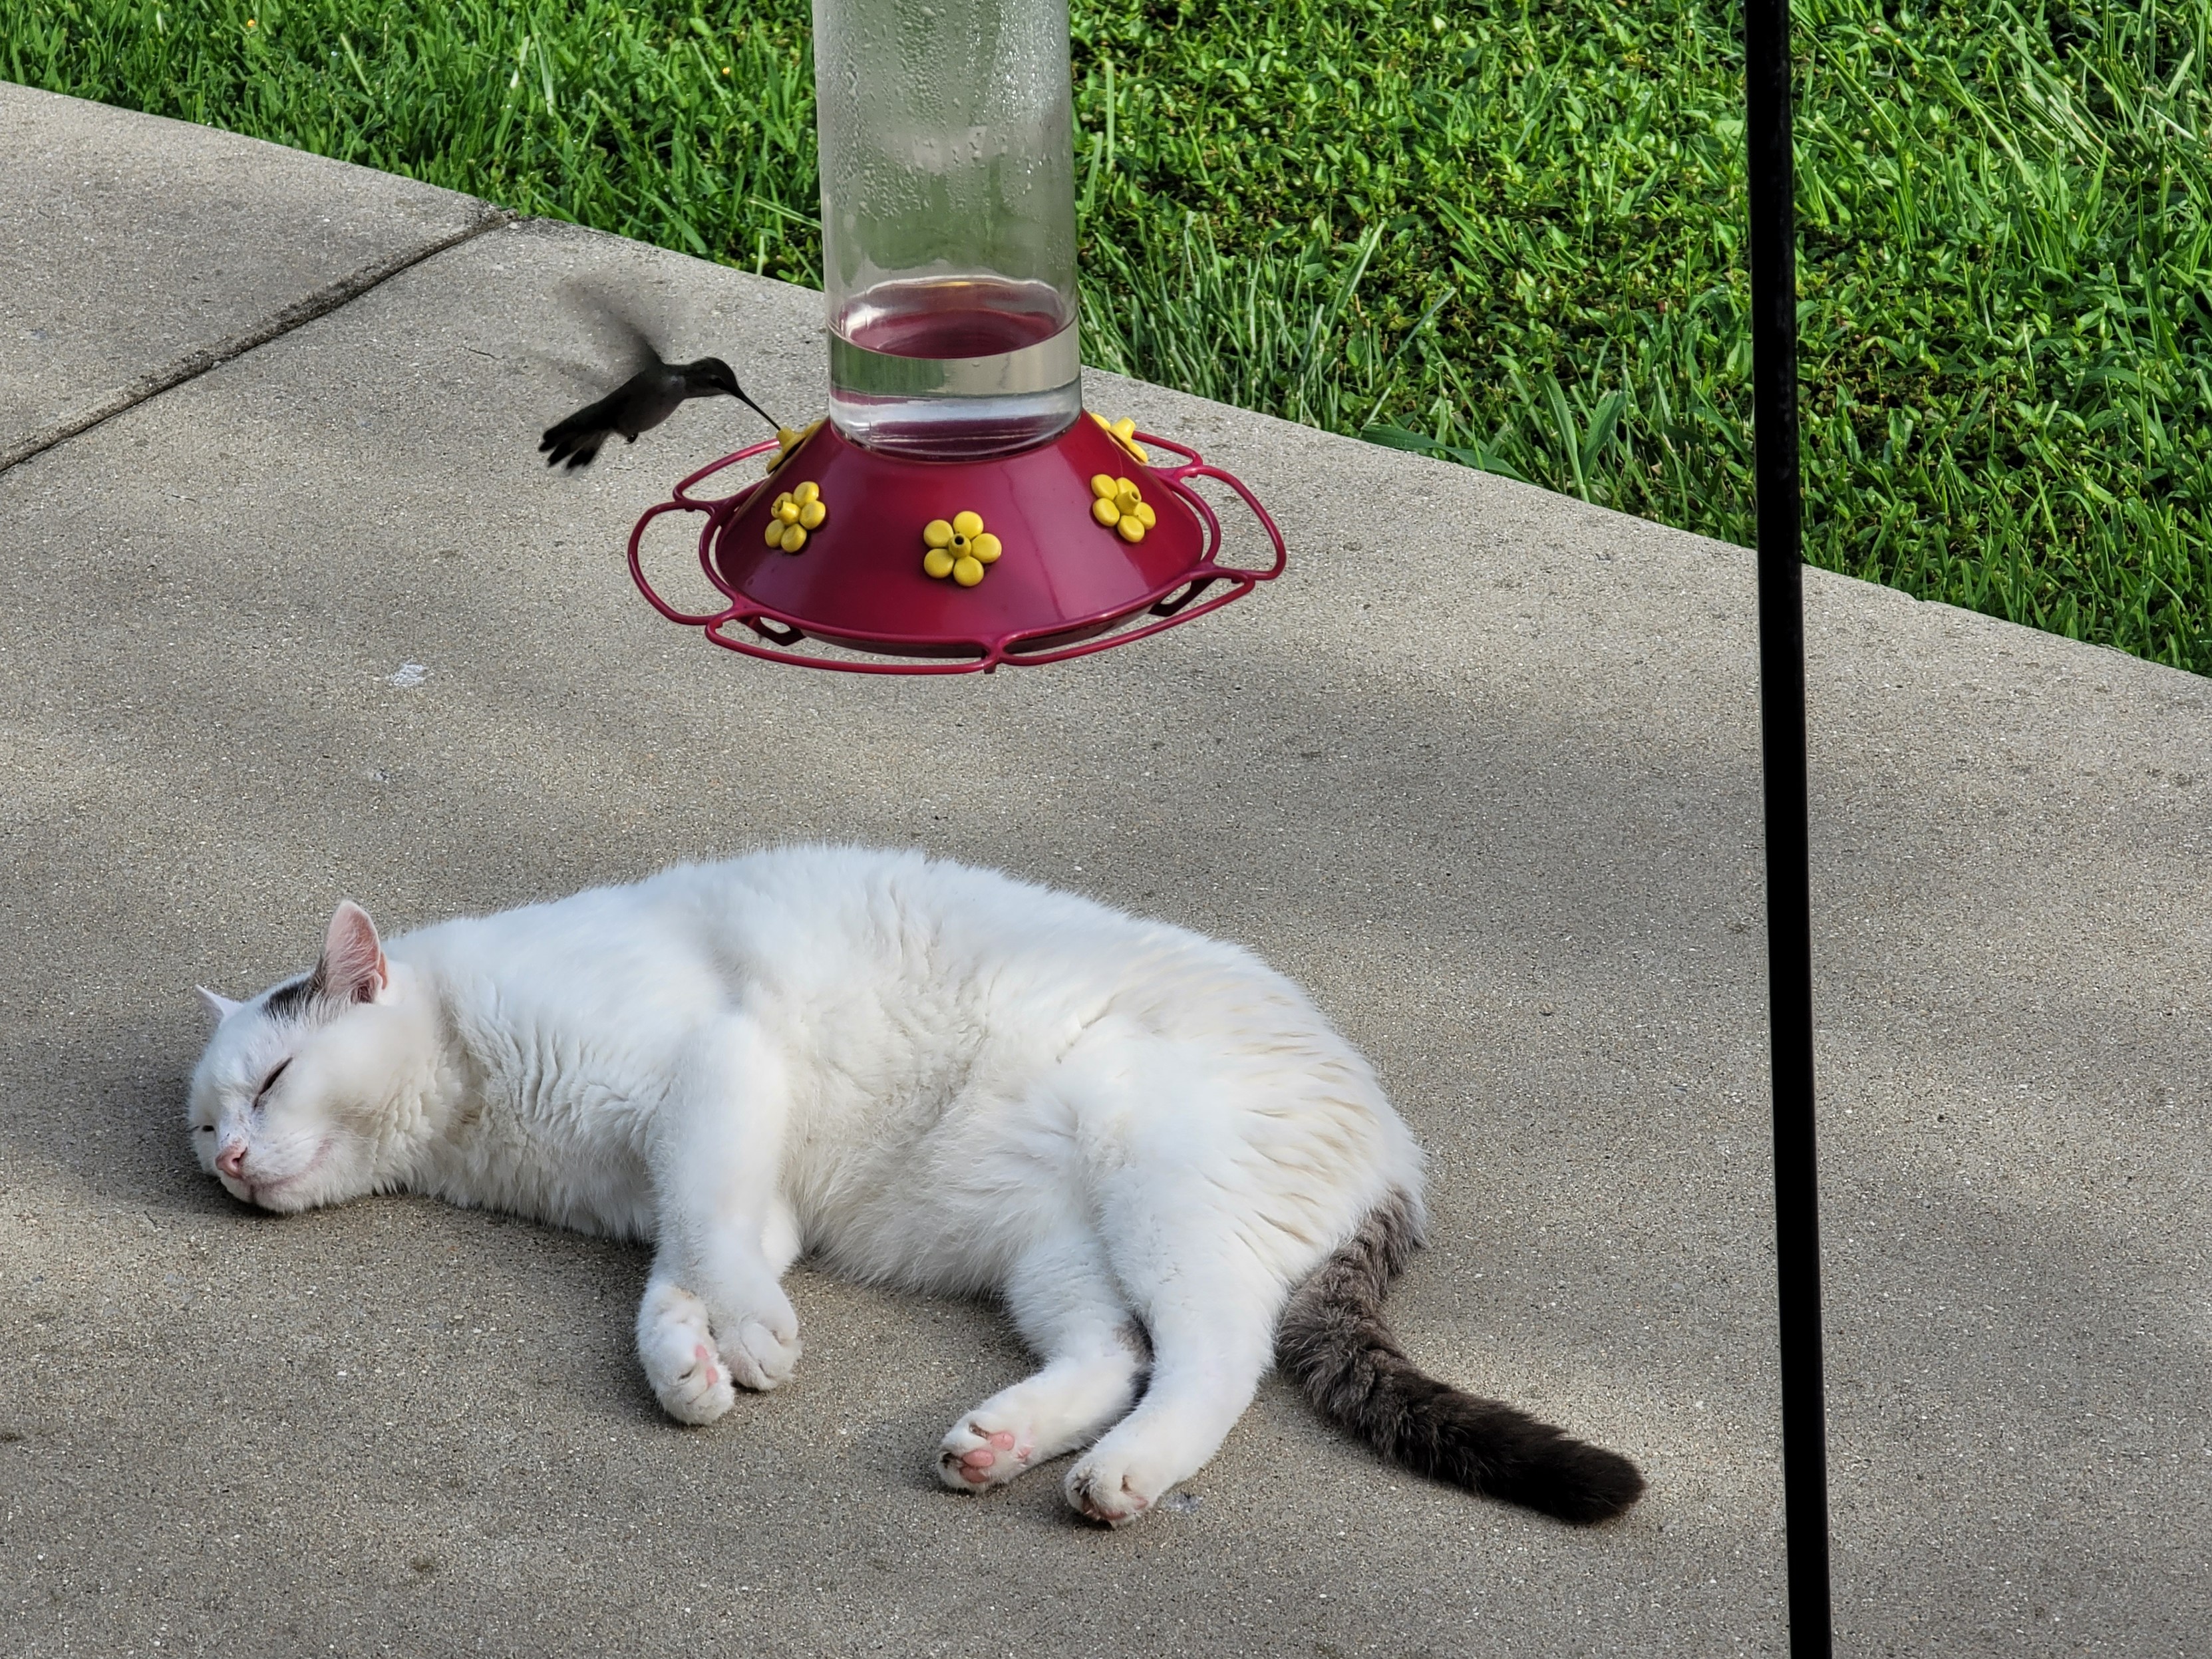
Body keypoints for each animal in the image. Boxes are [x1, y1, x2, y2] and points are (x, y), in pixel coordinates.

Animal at [187, 845, 1644, 1527]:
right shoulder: (719, 1180)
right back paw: (1001, 1437)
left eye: (271, 1080)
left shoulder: (716, 1076)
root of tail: (1393, 1140)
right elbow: (676, 1278)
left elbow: (705, 1245)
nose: (233, 1162)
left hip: (1161, 1199)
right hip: (1054, 1250)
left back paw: (1125, 1470)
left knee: (1213, 1357)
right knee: (1114, 1351)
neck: (475, 1102)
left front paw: (750, 1338)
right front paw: (694, 1368)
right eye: (204, 1126)